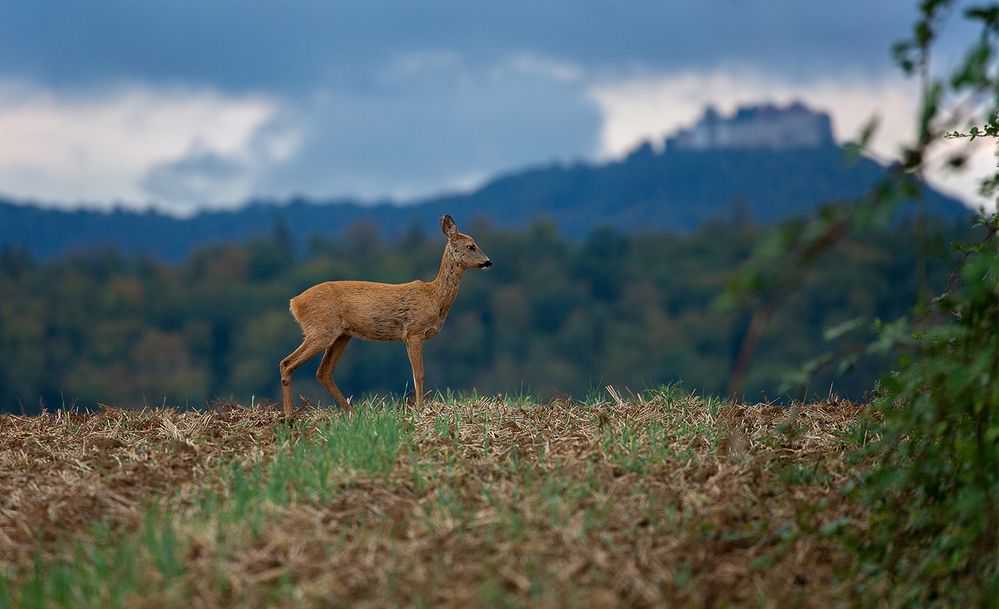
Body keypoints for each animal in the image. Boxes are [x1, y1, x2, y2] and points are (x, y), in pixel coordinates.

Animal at [280, 214, 490, 414]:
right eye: (471, 246)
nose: (488, 261)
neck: (434, 298)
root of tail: (295, 302)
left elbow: (416, 373)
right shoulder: (414, 331)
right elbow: (419, 373)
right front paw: (420, 408)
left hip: (342, 335)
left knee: (323, 372)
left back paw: (351, 412)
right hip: (321, 330)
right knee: (287, 363)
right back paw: (289, 415)